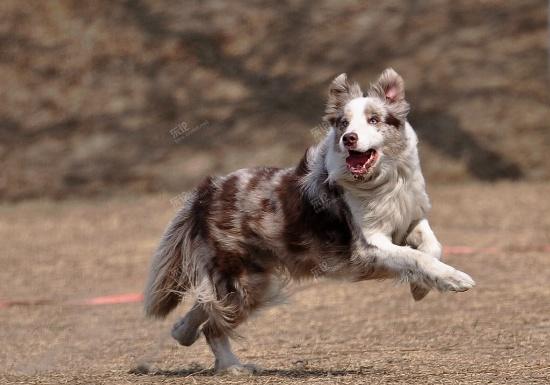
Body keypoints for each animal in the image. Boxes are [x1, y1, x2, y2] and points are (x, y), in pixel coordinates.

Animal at [144, 68, 476, 372]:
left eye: (373, 119)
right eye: (343, 123)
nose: (349, 138)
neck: (382, 181)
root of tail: (207, 189)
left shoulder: (411, 219)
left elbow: (432, 246)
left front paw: (421, 288)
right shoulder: (369, 245)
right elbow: (414, 257)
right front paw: (455, 279)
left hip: (249, 279)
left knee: (206, 305)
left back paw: (183, 331)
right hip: (246, 280)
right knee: (213, 323)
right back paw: (231, 366)